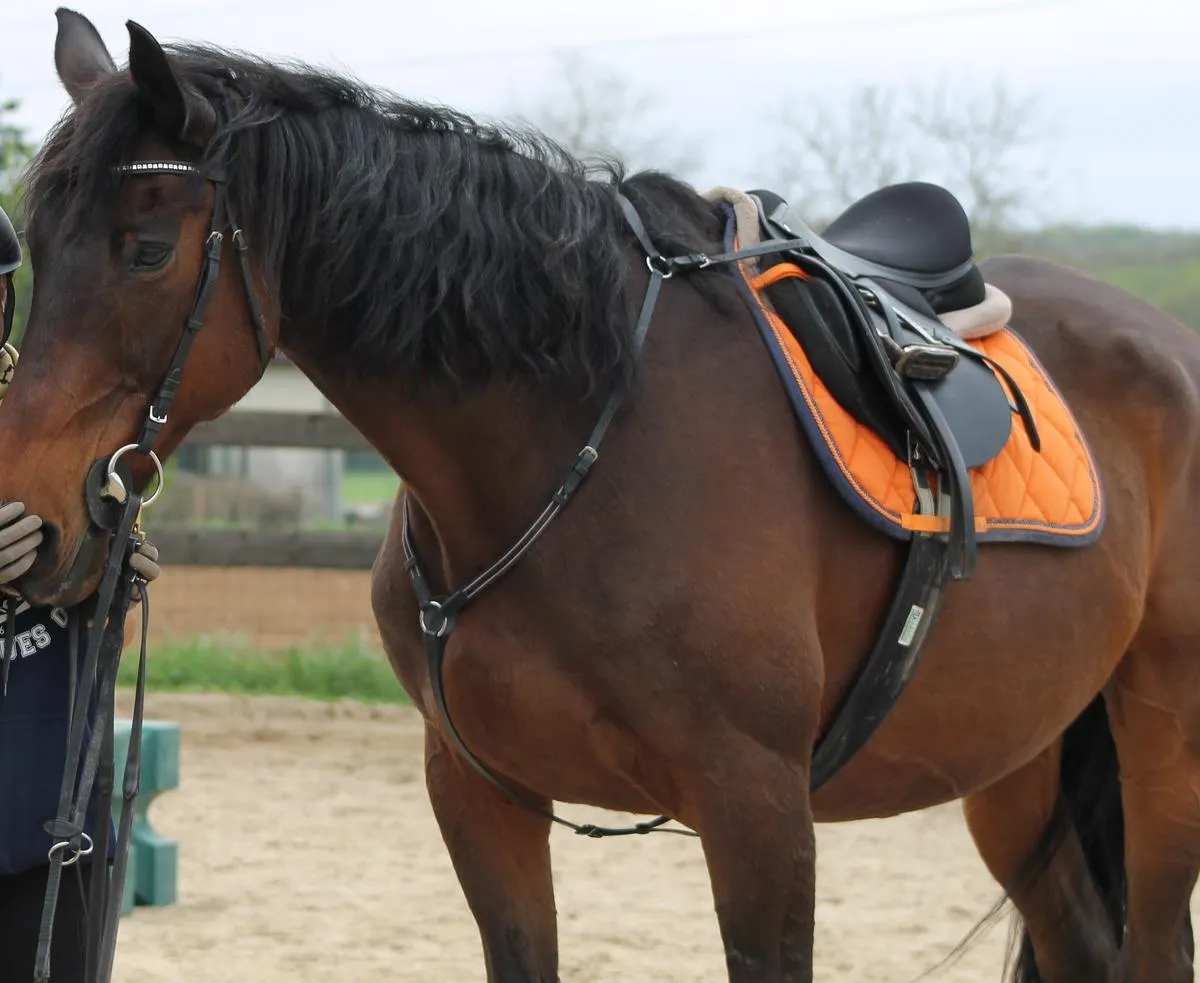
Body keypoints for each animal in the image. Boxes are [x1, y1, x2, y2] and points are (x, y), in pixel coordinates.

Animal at [2, 9, 1200, 983]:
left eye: (145, 250)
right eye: (31, 247)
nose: (34, 520)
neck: (578, 447)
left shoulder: (759, 807)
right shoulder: (478, 796)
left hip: (1160, 734)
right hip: (1014, 757)